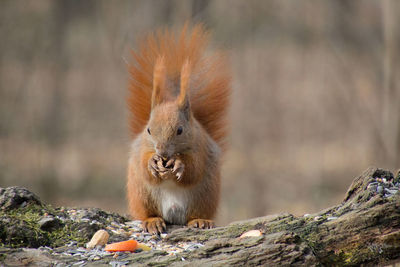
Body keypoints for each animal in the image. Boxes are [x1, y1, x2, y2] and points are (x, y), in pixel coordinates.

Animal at [125, 24, 231, 234]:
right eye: (148, 130)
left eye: (180, 130)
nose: (162, 153)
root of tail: (173, 214)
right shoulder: (142, 147)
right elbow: (144, 165)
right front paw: (153, 162)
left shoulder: (200, 147)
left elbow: (194, 168)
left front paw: (178, 164)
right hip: (141, 194)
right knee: (147, 212)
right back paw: (152, 221)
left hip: (204, 195)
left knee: (196, 212)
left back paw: (200, 220)